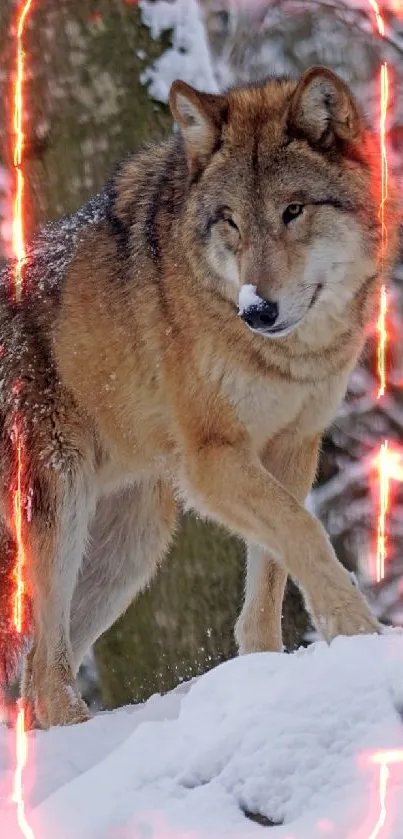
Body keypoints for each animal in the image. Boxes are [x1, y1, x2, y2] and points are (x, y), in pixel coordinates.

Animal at [0, 65, 398, 728]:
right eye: (230, 220)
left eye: (293, 211)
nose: (257, 310)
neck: (288, 357)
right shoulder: (213, 459)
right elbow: (305, 534)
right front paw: (359, 633)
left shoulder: (293, 448)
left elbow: (271, 573)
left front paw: (265, 670)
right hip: (60, 508)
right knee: (46, 677)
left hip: (131, 548)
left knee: (35, 680)